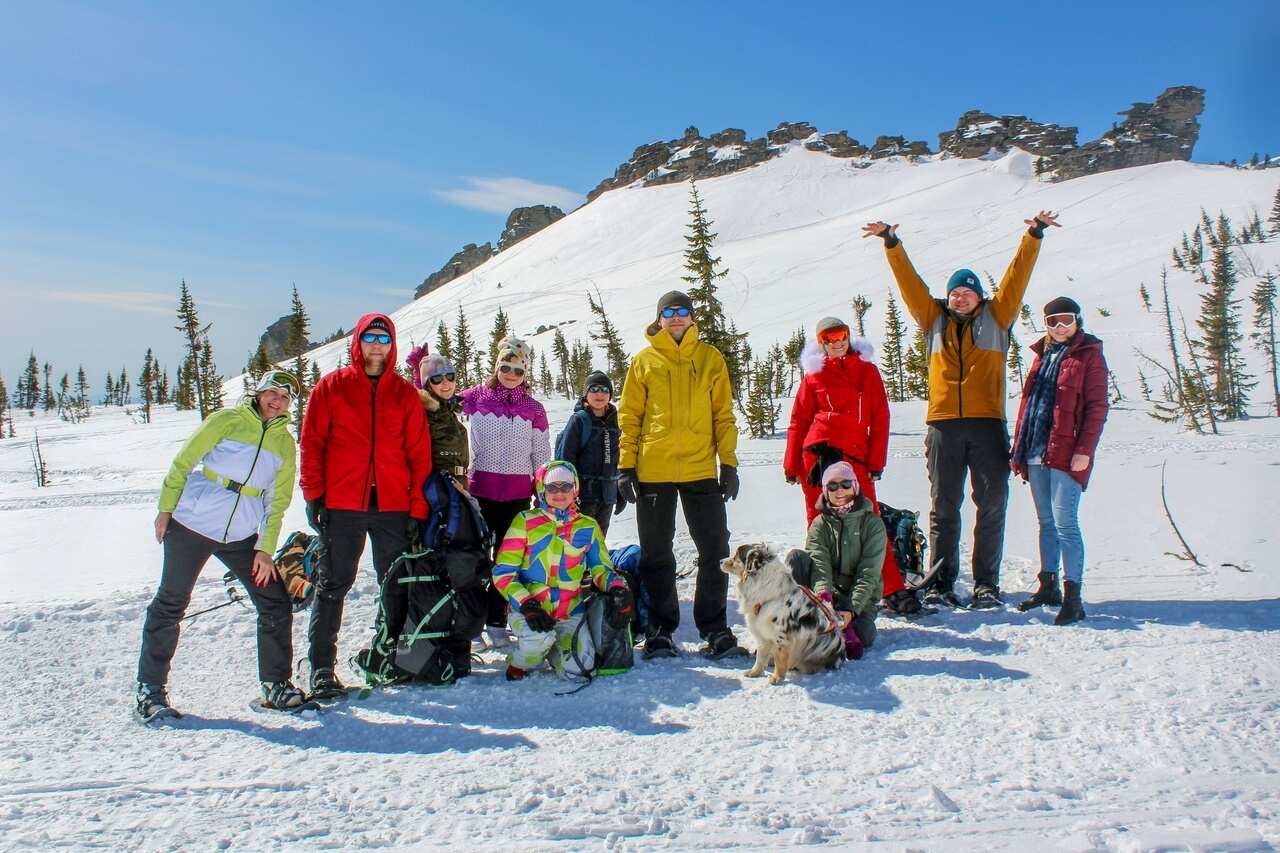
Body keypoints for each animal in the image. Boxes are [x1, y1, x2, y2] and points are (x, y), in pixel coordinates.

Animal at [727, 540, 844, 681]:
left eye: (735, 557)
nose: (720, 561)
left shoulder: (781, 637)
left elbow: (780, 660)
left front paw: (776, 678)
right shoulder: (763, 634)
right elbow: (760, 657)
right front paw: (754, 673)